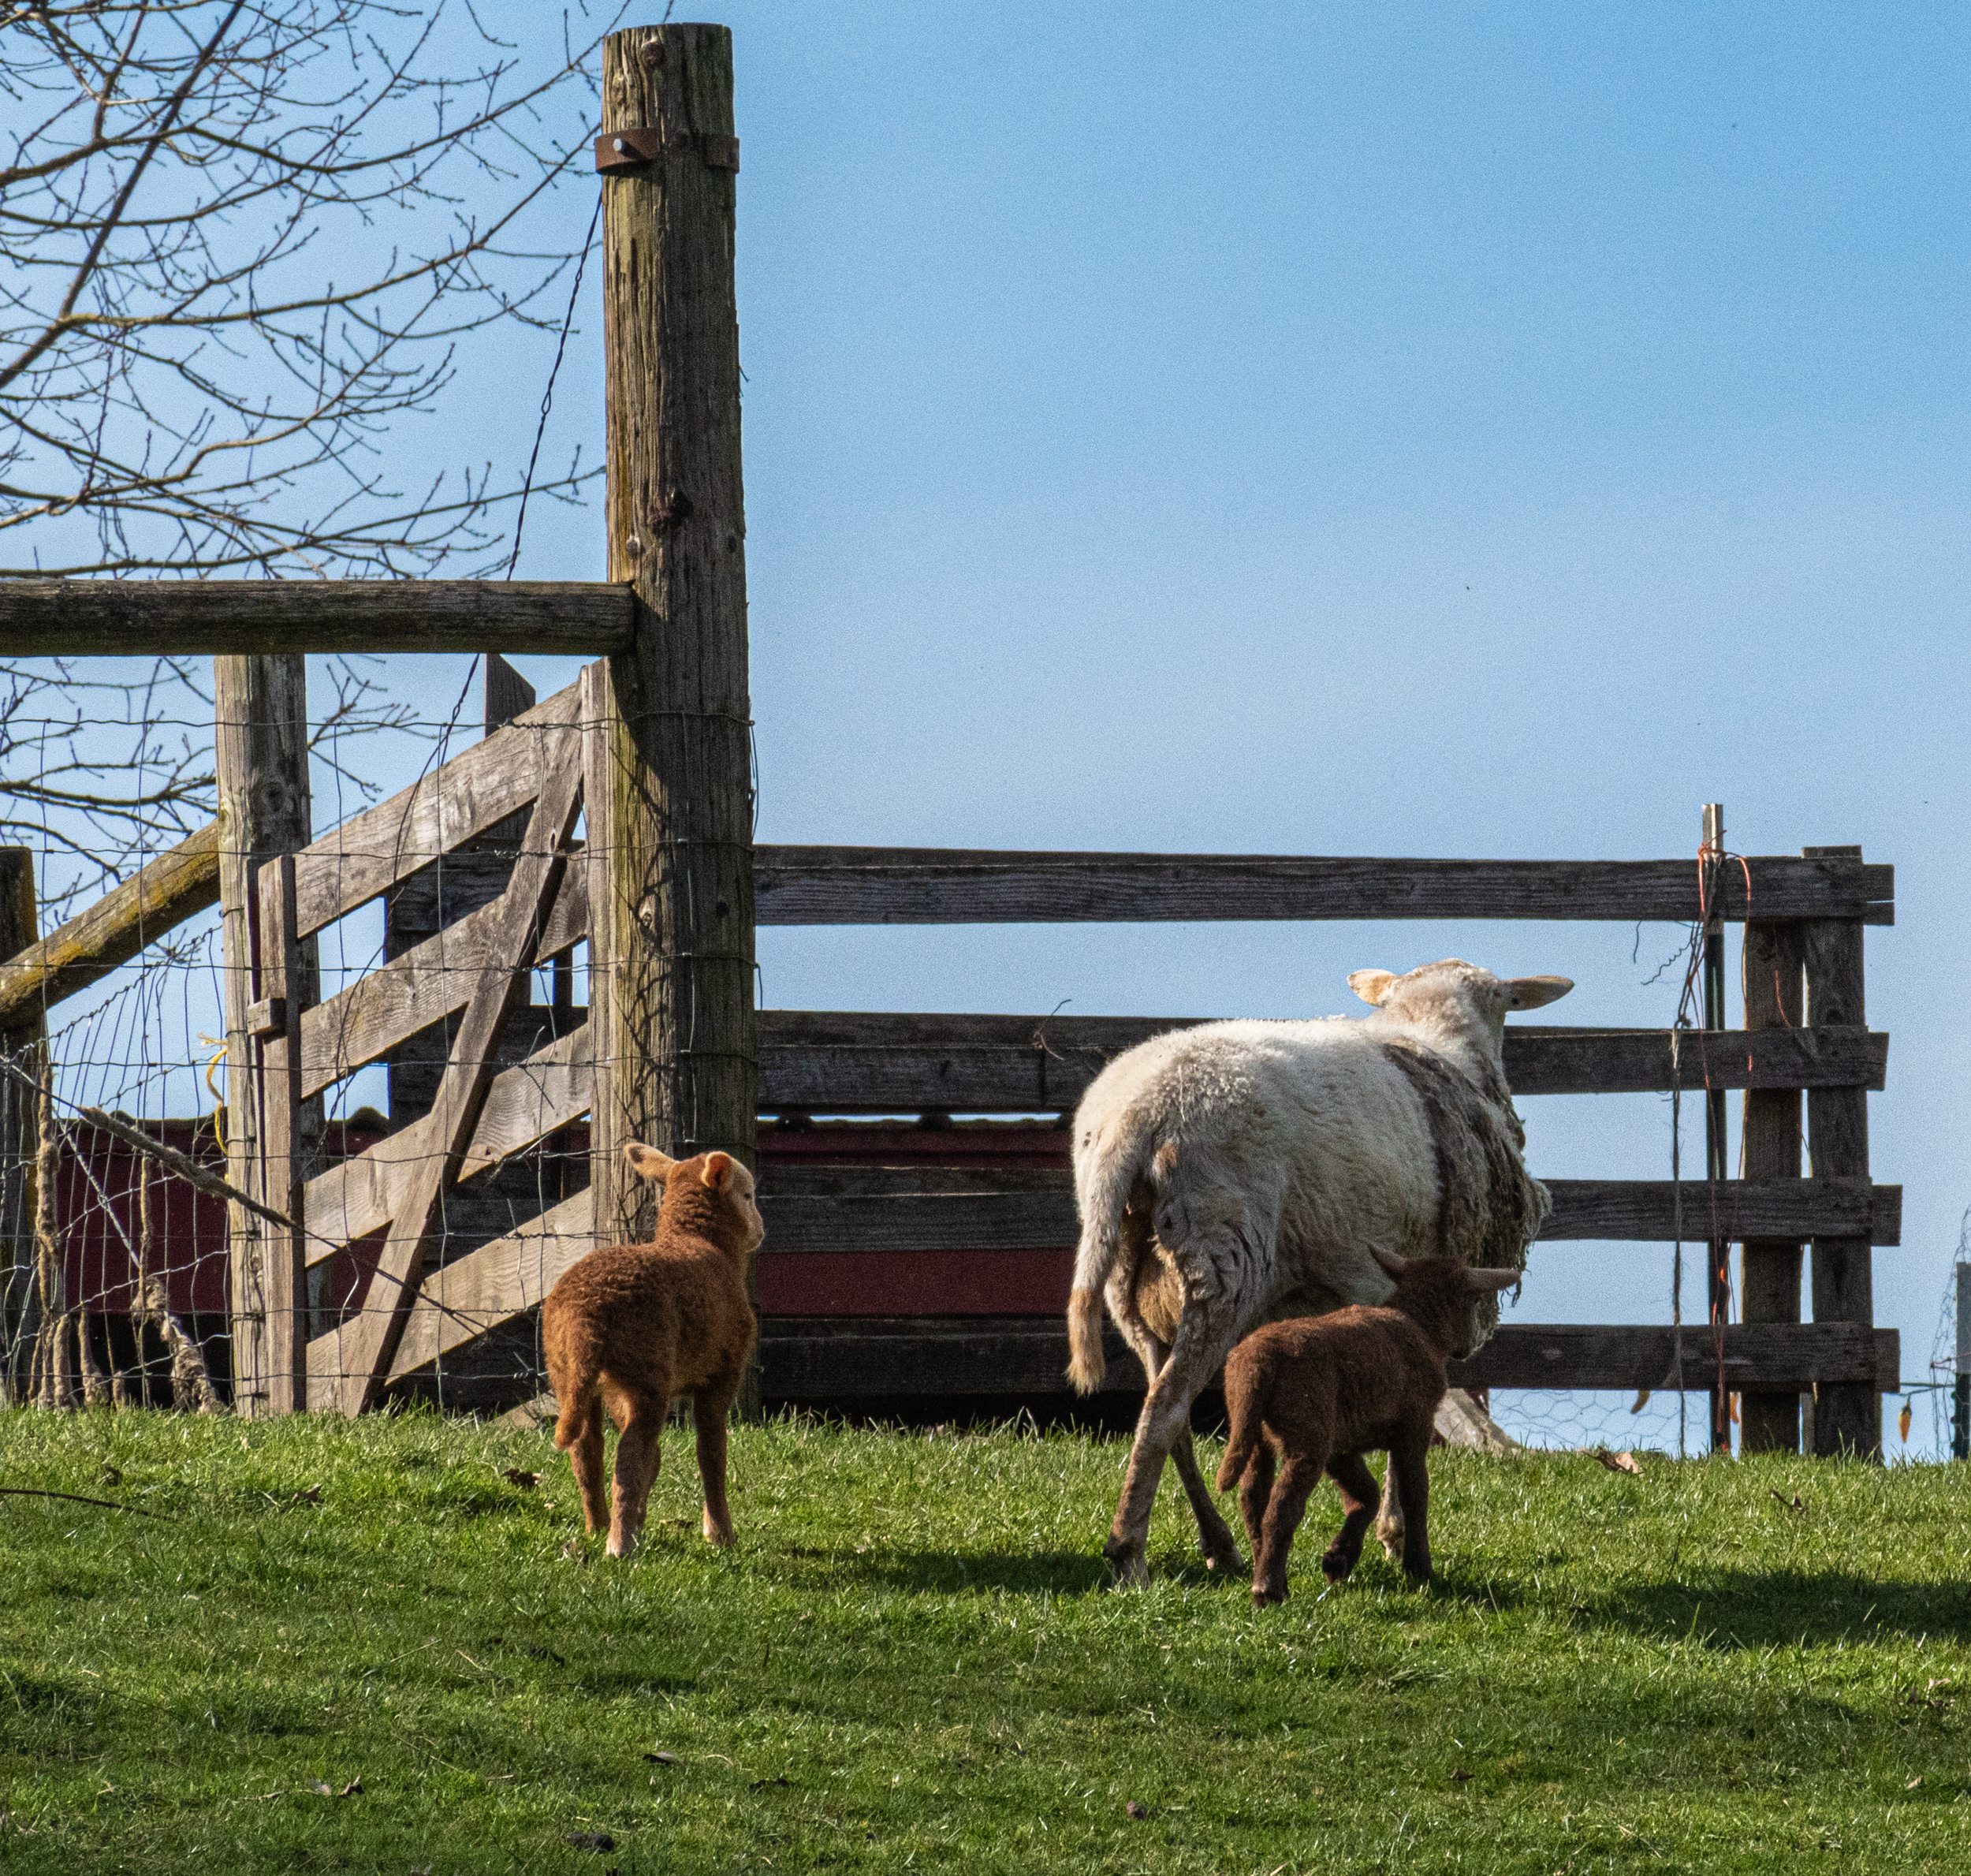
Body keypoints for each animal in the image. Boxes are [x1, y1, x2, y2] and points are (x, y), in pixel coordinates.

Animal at [544, 1151, 765, 1561]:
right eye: (748, 1196)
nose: (761, 1230)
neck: (699, 1241)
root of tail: (584, 1319)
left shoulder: (616, 1387)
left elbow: (656, 1456)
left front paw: (643, 1516)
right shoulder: (723, 1371)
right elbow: (711, 1451)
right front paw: (720, 1534)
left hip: (568, 1371)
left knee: (587, 1450)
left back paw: (598, 1528)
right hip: (646, 1369)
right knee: (628, 1457)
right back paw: (619, 1545)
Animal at [1206, 1253, 1514, 1608]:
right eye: (1474, 1300)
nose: (1472, 1345)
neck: (1418, 1324)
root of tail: (1258, 1363)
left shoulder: (1341, 1445)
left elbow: (1364, 1494)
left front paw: (1339, 1560)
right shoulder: (1415, 1427)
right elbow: (1415, 1494)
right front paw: (1419, 1568)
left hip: (1257, 1434)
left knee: (1252, 1500)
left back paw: (1268, 1574)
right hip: (1307, 1434)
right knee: (1282, 1506)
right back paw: (1268, 1589)